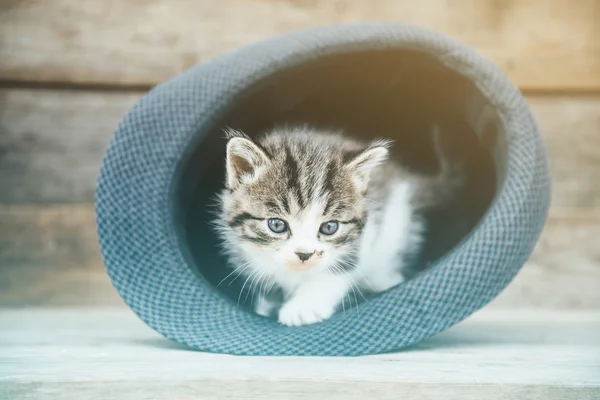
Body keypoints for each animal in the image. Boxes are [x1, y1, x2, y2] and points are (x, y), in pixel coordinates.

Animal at [213, 126, 462, 328]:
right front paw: (267, 306)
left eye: (329, 227)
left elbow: (336, 272)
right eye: (277, 225)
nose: (304, 254)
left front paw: (304, 308)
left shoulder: (358, 242)